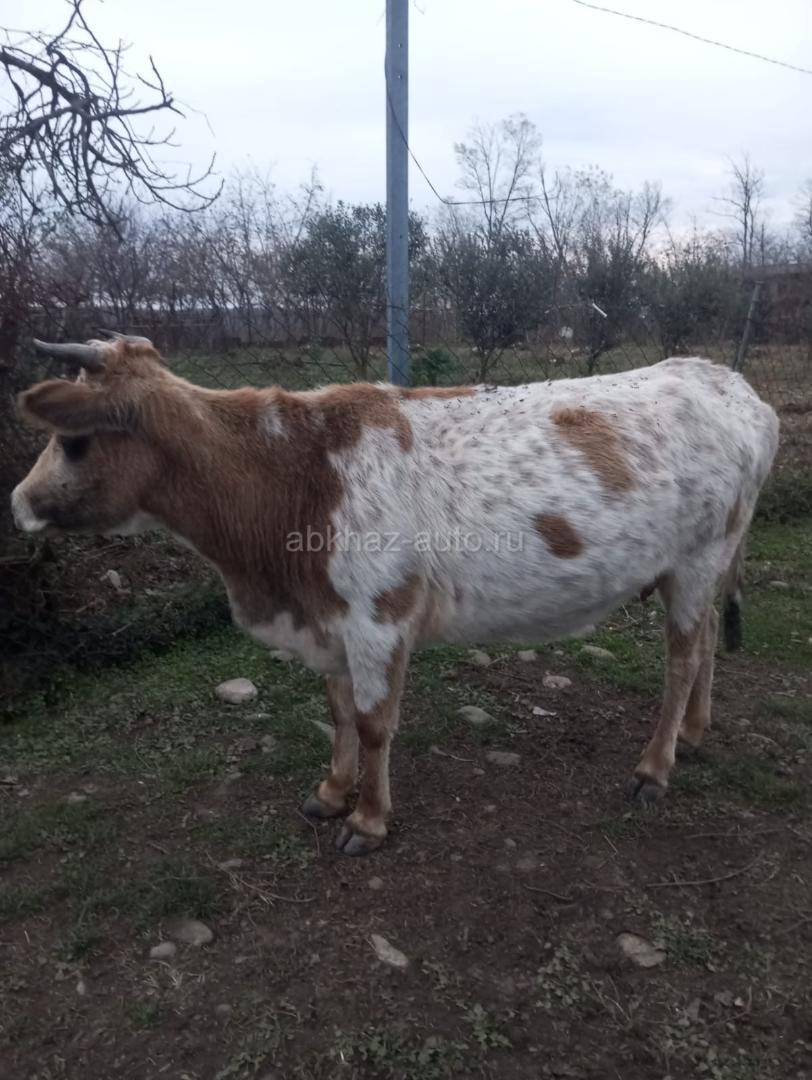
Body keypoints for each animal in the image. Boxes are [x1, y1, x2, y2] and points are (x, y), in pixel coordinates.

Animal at [11, 335, 779, 855]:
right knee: (708, 642)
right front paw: (331, 790)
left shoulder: (379, 618)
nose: (18, 502)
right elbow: (338, 711)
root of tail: (725, 381)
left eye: (73, 442)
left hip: (698, 557)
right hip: (704, 565)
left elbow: (375, 721)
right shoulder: (331, 621)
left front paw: (369, 818)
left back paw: (655, 765)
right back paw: (694, 732)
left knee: (682, 658)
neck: (291, 478)